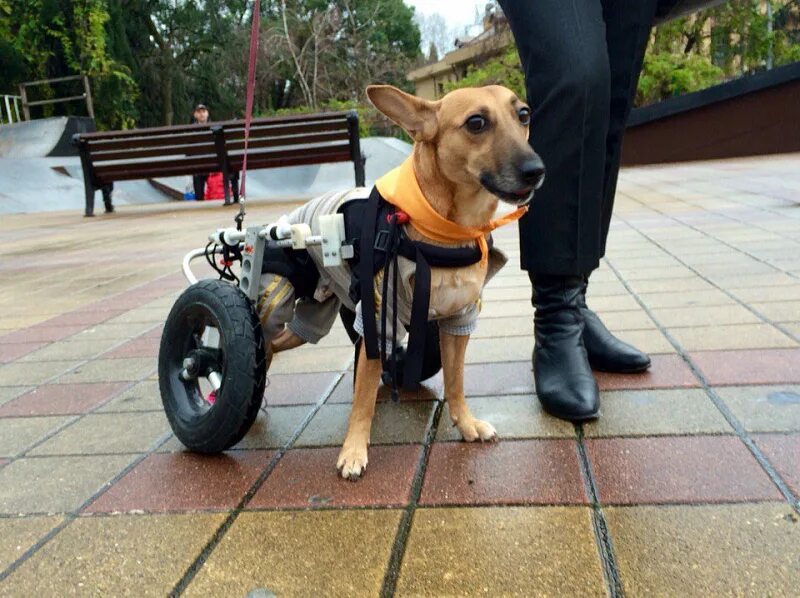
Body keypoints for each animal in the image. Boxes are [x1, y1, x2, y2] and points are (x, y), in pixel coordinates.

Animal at [274, 84, 544, 480]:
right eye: (476, 123)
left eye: (523, 115)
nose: (536, 170)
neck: (447, 232)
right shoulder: (378, 320)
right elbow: (363, 400)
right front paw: (353, 450)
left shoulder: (459, 320)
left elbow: (455, 381)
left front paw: (466, 424)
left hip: (323, 314)